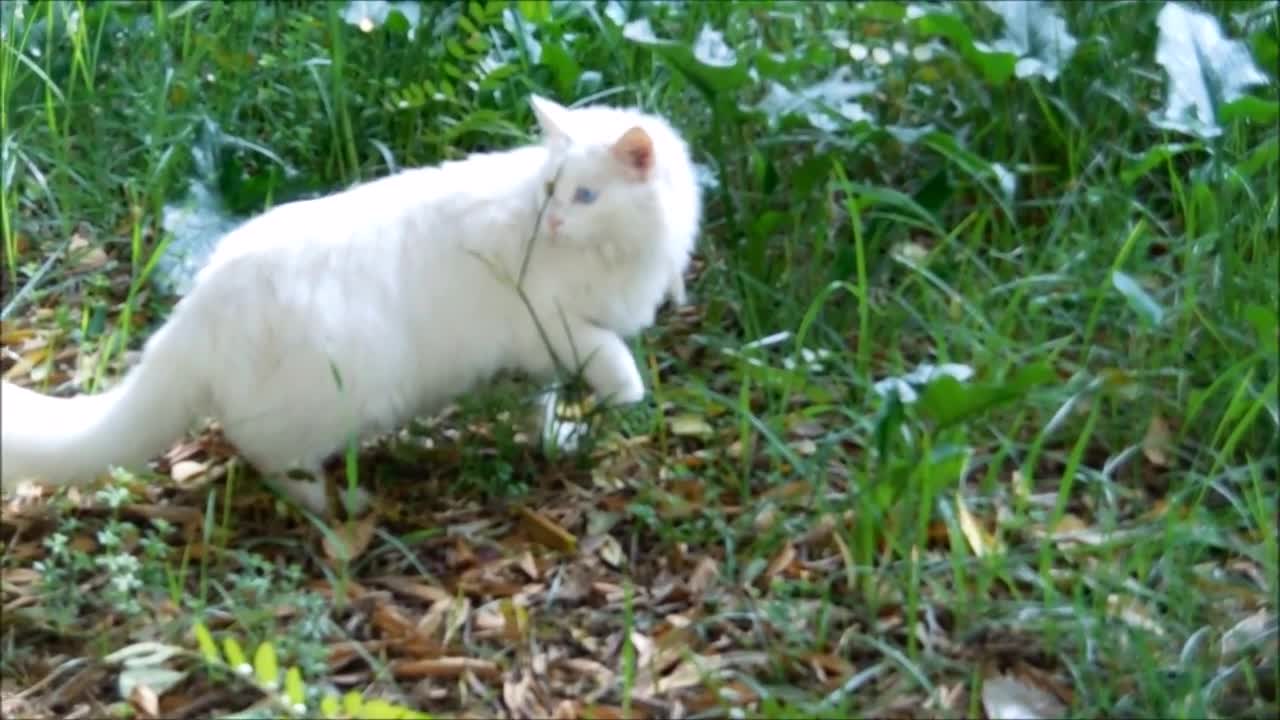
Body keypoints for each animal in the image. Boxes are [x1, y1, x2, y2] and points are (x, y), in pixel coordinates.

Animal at [2, 95, 701, 509]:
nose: (553, 222)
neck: (617, 251)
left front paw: (564, 433)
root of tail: (202, 302)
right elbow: (617, 362)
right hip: (345, 395)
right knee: (270, 457)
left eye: (584, 196)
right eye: (555, 189)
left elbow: (553, 400)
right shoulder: (550, 323)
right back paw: (338, 509)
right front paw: (621, 402)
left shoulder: (549, 352)